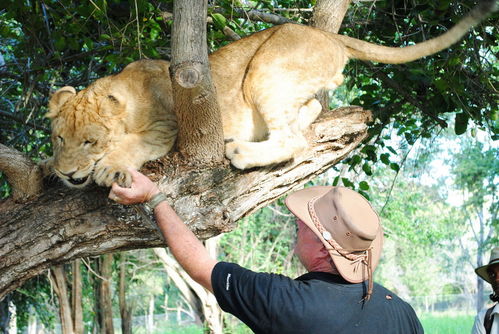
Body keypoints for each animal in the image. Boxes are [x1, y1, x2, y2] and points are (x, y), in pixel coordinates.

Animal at [47, 1, 496, 188]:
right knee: (307, 112)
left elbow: (136, 143)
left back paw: (241, 150)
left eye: (90, 142)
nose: (65, 174)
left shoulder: (169, 123)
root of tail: (328, 34)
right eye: (58, 139)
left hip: (265, 69)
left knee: (294, 142)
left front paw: (109, 167)